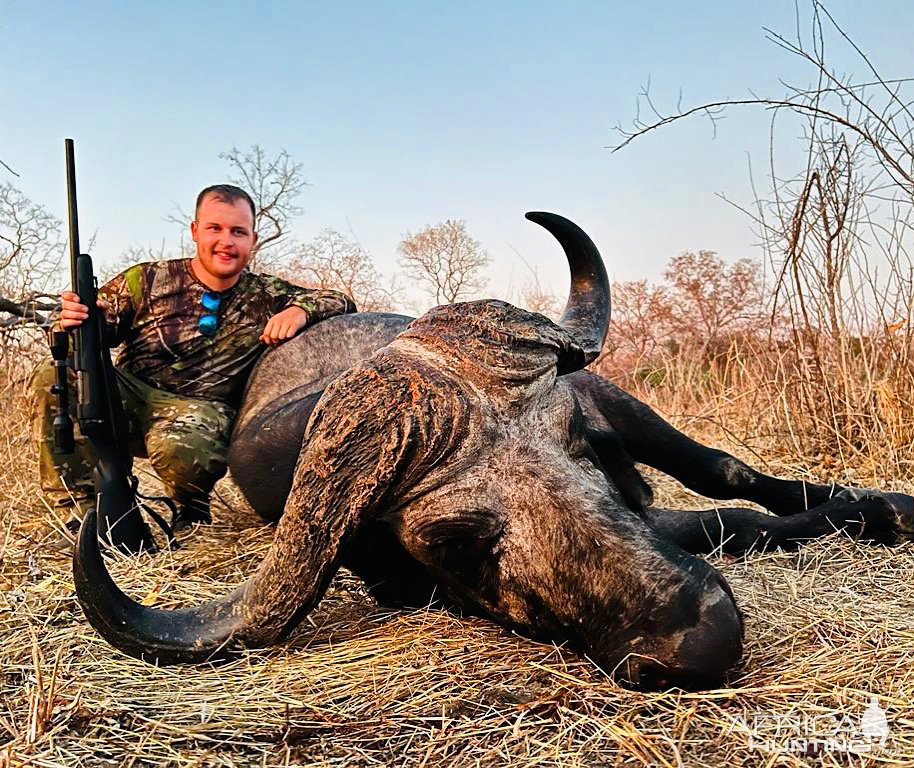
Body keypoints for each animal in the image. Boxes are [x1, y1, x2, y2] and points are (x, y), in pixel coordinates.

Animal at [73, 212, 912, 688]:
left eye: (579, 440)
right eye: (460, 541)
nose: (700, 638)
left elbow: (734, 507)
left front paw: (878, 508)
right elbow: (723, 526)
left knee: (720, 466)